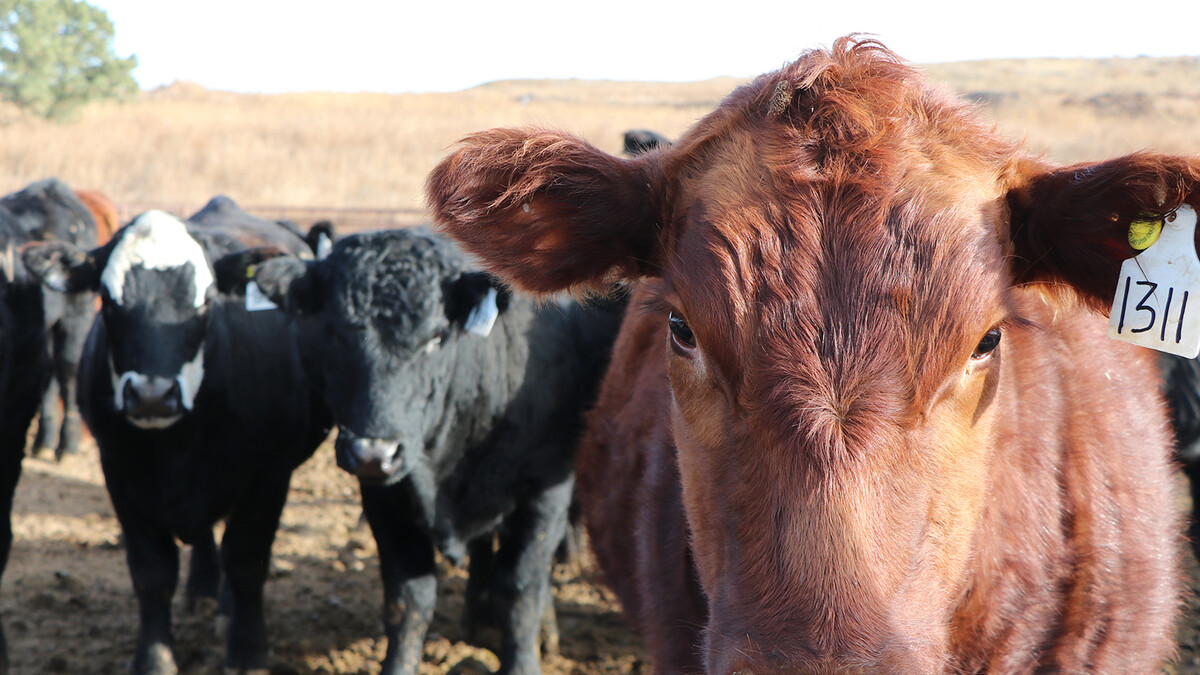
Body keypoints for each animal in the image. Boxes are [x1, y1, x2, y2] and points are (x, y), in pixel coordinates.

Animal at [23, 195, 331, 672]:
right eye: (109, 302)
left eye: (206, 302)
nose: (152, 395)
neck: (178, 449)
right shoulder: (119, 474)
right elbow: (152, 573)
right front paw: (154, 659)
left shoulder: (270, 475)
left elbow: (247, 561)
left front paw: (247, 651)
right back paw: (202, 591)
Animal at [235, 229, 628, 672]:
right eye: (334, 334)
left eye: (436, 338)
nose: (373, 452)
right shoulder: (386, 501)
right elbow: (408, 601)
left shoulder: (546, 490)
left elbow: (520, 590)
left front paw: (524, 658)